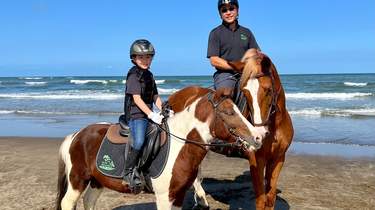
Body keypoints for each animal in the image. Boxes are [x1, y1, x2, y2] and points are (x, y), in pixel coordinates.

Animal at [55, 85, 260, 210]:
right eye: (229, 112)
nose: (258, 137)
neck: (180, 146)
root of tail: (76, 135)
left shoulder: (177, 195)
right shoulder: (163, 196)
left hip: (97, 180)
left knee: (89, 201)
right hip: (77, 180)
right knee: (67, 203)